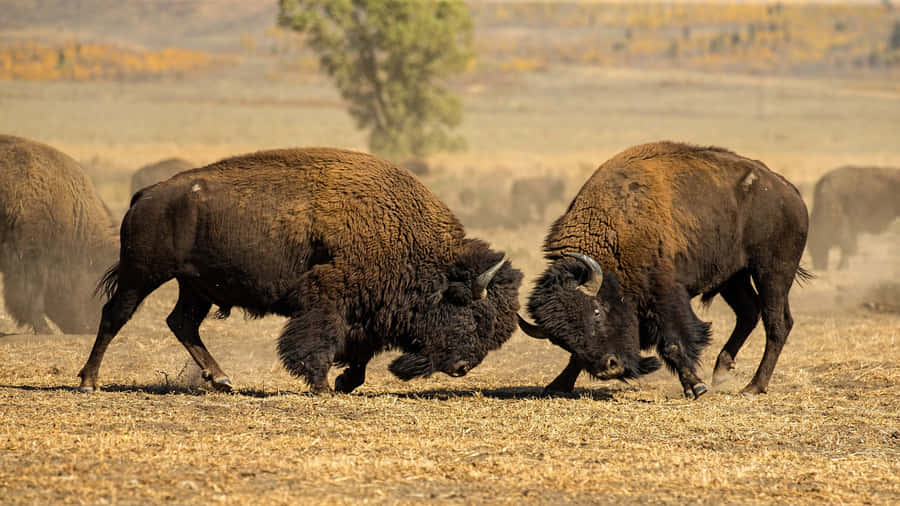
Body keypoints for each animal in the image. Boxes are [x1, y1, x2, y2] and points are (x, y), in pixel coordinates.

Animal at [78, 147, 523, 394]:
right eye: (474, 315)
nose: (462, 369)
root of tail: (146, 194)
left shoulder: (366, 312)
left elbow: (359, 352)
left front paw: (344, 383)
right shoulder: (328, 301)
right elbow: (319, 342)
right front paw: (323, 386)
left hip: (195, 287)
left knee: (182, 323)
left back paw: (221, 379)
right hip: (143, 275)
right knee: (115, 315)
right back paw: (89, 381)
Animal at [518, 142, 810, 398]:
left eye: (597, 312)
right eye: (560, 339)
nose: (610, 368)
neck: (613, 231)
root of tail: (788, 192)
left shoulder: (665, 294)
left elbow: (672, 342)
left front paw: (696, 387)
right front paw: (557, 385)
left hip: (771, 272)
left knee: (777, 323)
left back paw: (752, 387)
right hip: (733, 278)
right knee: (749, 313)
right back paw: (722, 371)